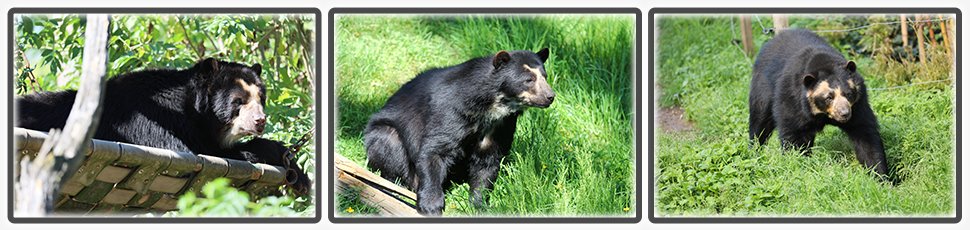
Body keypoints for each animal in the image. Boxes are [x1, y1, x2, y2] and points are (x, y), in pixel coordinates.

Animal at [364, 47, 556, 215]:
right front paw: (431, 206)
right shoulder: (452, 110)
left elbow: (487, 161)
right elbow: (435, 150)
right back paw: (397, 185)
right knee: (388, 143)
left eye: (545, 77)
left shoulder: (501, 125)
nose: (550, 96)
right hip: (384, 134)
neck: (491, 106)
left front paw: (479, 205)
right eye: (528, 79)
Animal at [748, 29, 884, 176]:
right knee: (760, 121)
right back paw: (754, 151)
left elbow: (865, 133)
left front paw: (879, 175)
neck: (822, 113)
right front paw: (799, 165)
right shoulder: (792, 99)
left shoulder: (858, 104)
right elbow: (794, 135)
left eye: (848, 94)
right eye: (829, 97)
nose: (845, 113)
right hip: (763, 87)